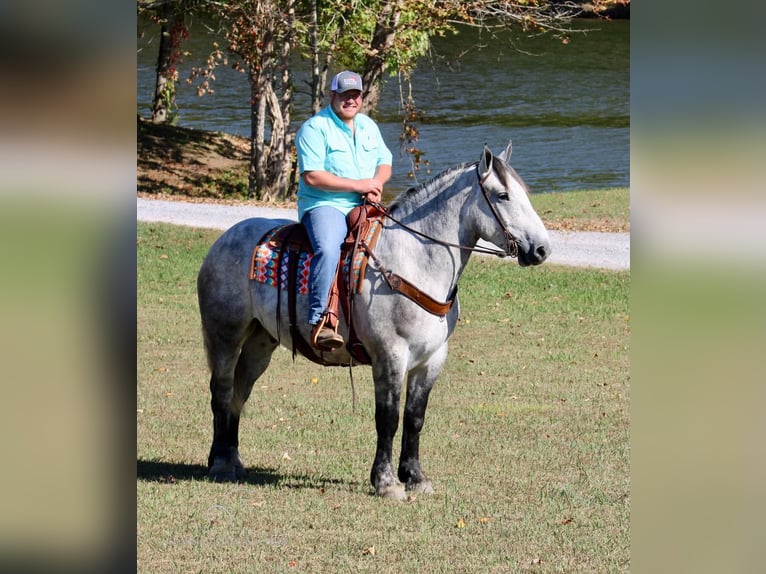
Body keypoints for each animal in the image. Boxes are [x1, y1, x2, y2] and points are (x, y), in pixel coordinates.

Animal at [198, 143, 552, 500]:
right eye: (503, 195)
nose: (541, 249)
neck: (413, 263)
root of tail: (223, 241)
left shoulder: (432, 359)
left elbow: (414, 417)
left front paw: (415, 477)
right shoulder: (390, 355)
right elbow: (388, 418)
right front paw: (386, 482)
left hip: (260, 343)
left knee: (240, 393)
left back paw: (231, 458)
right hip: (225, 336)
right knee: (222, 392)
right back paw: (220, 464)